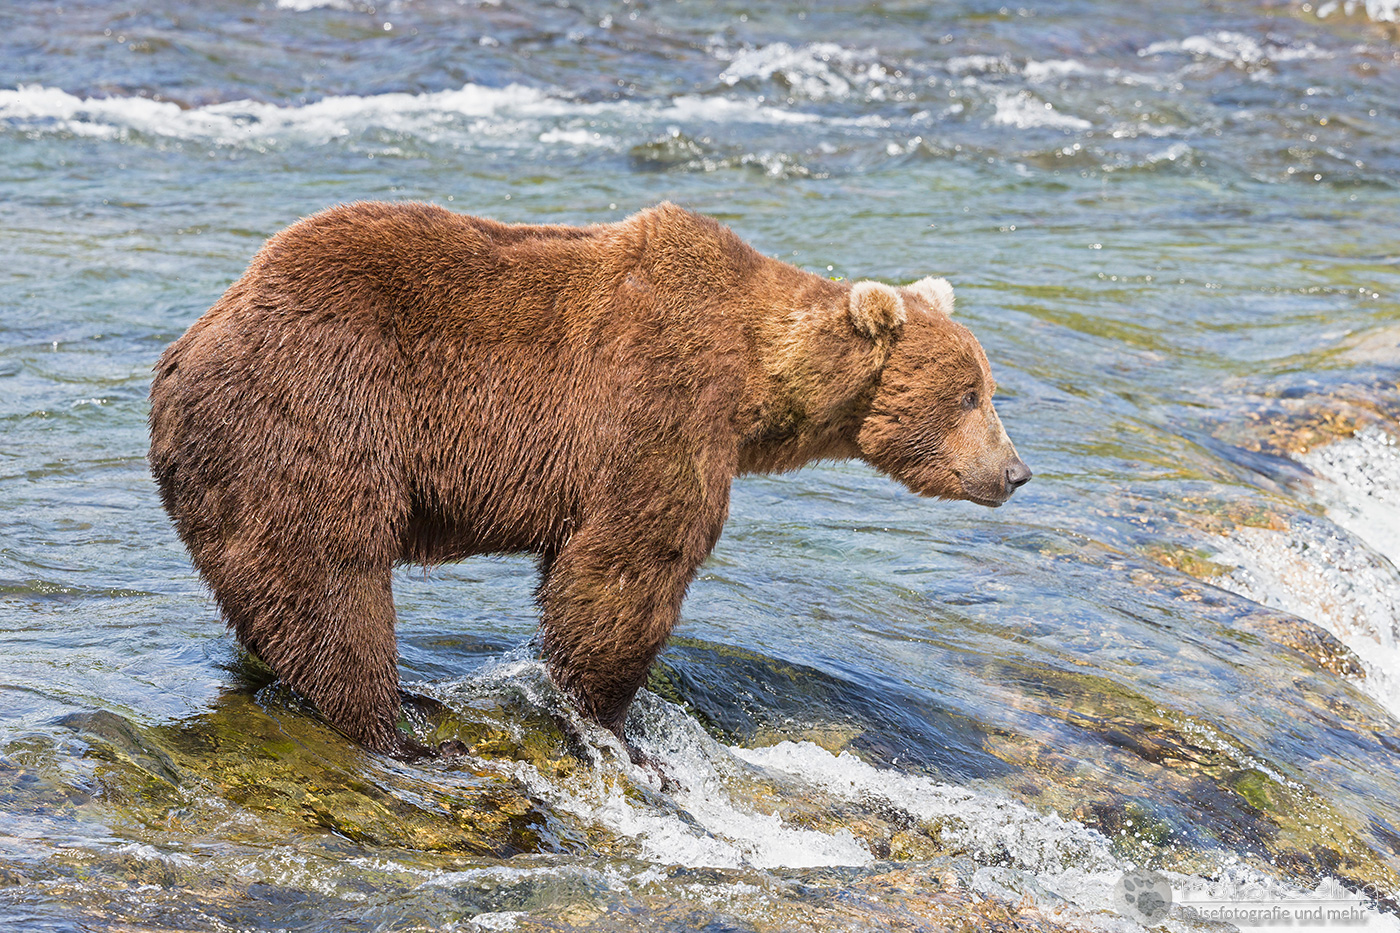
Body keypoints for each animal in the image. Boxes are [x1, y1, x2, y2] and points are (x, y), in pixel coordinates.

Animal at [148, 201, 1030, 758]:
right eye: (969, 393)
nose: (1017, 470)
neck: (757, 380)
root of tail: (186, 347)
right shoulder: (661, 403)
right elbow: (626, 565)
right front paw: (615, 721)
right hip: (319, 413)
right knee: (332, 575)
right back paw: (397, 726)